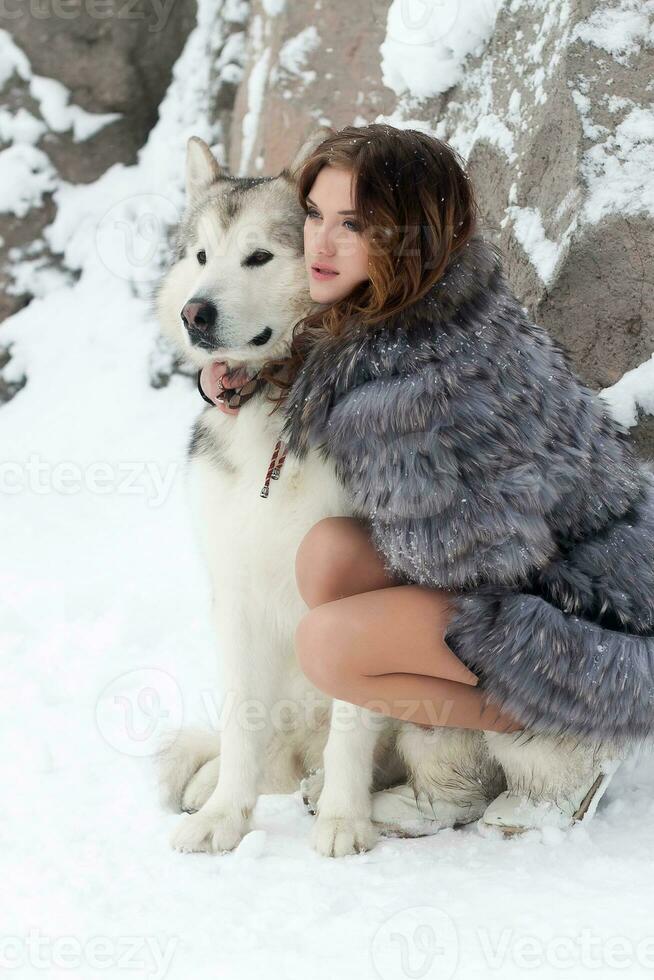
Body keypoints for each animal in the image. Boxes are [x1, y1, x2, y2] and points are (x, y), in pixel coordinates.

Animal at [155, 134, 620, 852]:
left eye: (259, 256)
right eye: (201, 257)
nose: (194, 313)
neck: (277, 407)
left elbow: (351, 728)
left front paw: (344, 823)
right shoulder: (235, 592)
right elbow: (241, 722)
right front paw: (226, 817)